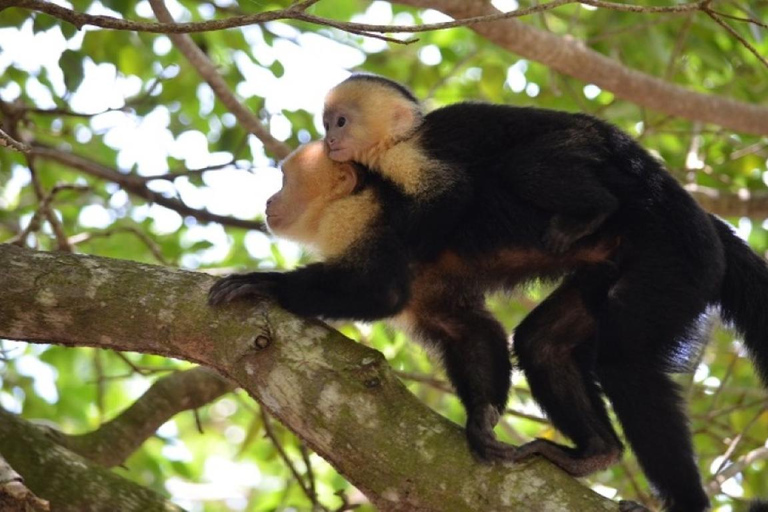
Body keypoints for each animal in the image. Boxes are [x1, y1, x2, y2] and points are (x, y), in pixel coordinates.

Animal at [308, 75, 768, 512]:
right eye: (327, 123)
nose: (329, 141)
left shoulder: (411, 157)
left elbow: (451, 194)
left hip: (675, 257)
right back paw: (595, 453)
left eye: (341, 122)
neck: (399, 140)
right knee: (542, 343)